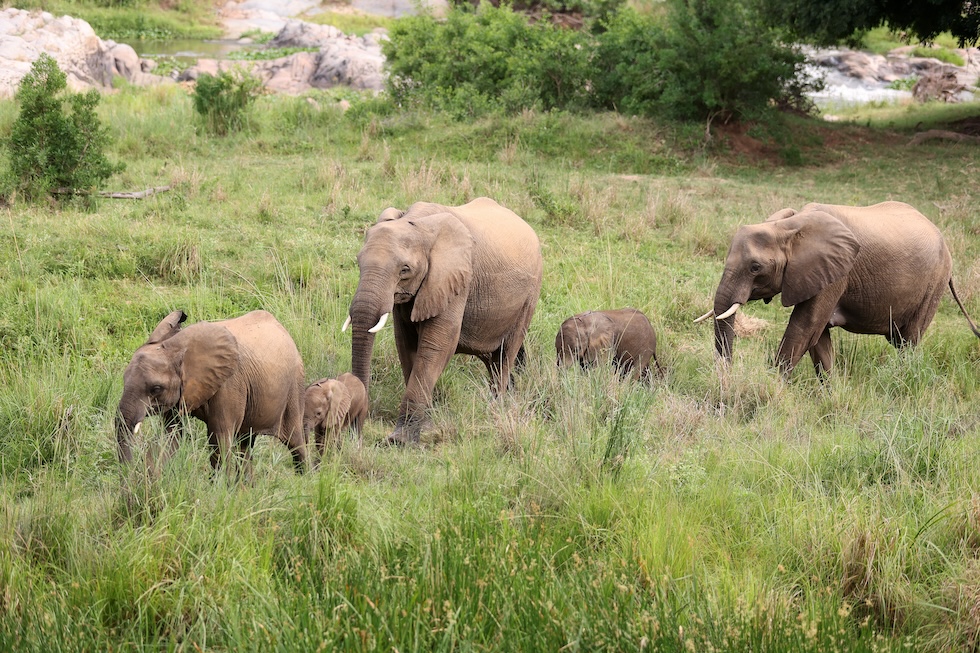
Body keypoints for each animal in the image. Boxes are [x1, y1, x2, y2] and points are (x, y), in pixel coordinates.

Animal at [115, 308, 308, 476]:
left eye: (156, 389)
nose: (128, 470)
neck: (175, 347)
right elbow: (171, 435)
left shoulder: (229, 385)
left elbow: (219, 438)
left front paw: (219, 488)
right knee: (244, 443)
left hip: (295, 386)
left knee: (295, 442)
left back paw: (303, 480)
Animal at [342, 196, 544, 444]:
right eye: (359, 262)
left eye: (405, 270)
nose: (355, 432)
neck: (418, 223)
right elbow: (405, 343)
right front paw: (425, 427)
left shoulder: (456, 278)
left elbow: (437, 345)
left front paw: (400, 441)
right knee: (493, 358)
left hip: (530, 295)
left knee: (506, 353)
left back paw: (496, 410)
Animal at [696, 202, 980, 376]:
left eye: (755, 268)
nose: (727, 376)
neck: (788, 226)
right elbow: (818, 338)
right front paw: (829, 395)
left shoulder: (836, 273)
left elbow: (804, 327)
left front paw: (773, 384)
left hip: (935, 282)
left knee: (909, 340)